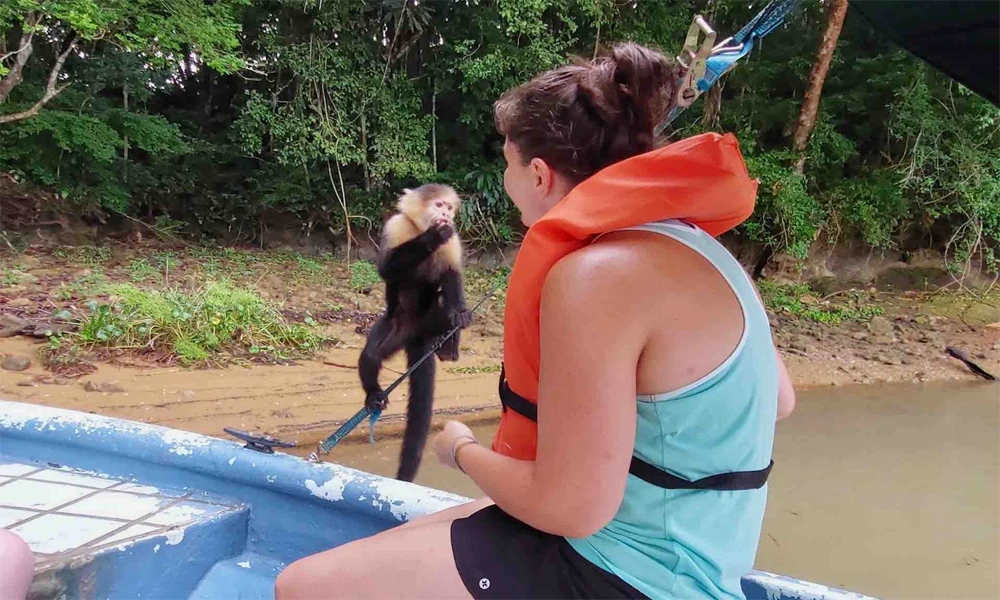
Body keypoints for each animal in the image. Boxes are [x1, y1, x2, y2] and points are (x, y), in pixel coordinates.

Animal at [358, 183, 472, 482]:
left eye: (449, 208)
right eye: (439, 205)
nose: (445, 215)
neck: (418, 227)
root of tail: (419, 333)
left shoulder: (454, 241)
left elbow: (452, 274)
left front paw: (461, 311)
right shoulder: (396, 226)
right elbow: (386, 268)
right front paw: (432, 237)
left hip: (434, 321)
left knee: (443, 300)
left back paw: (450, 343)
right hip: (397, 326)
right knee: (371, 356)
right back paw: (373, 393)